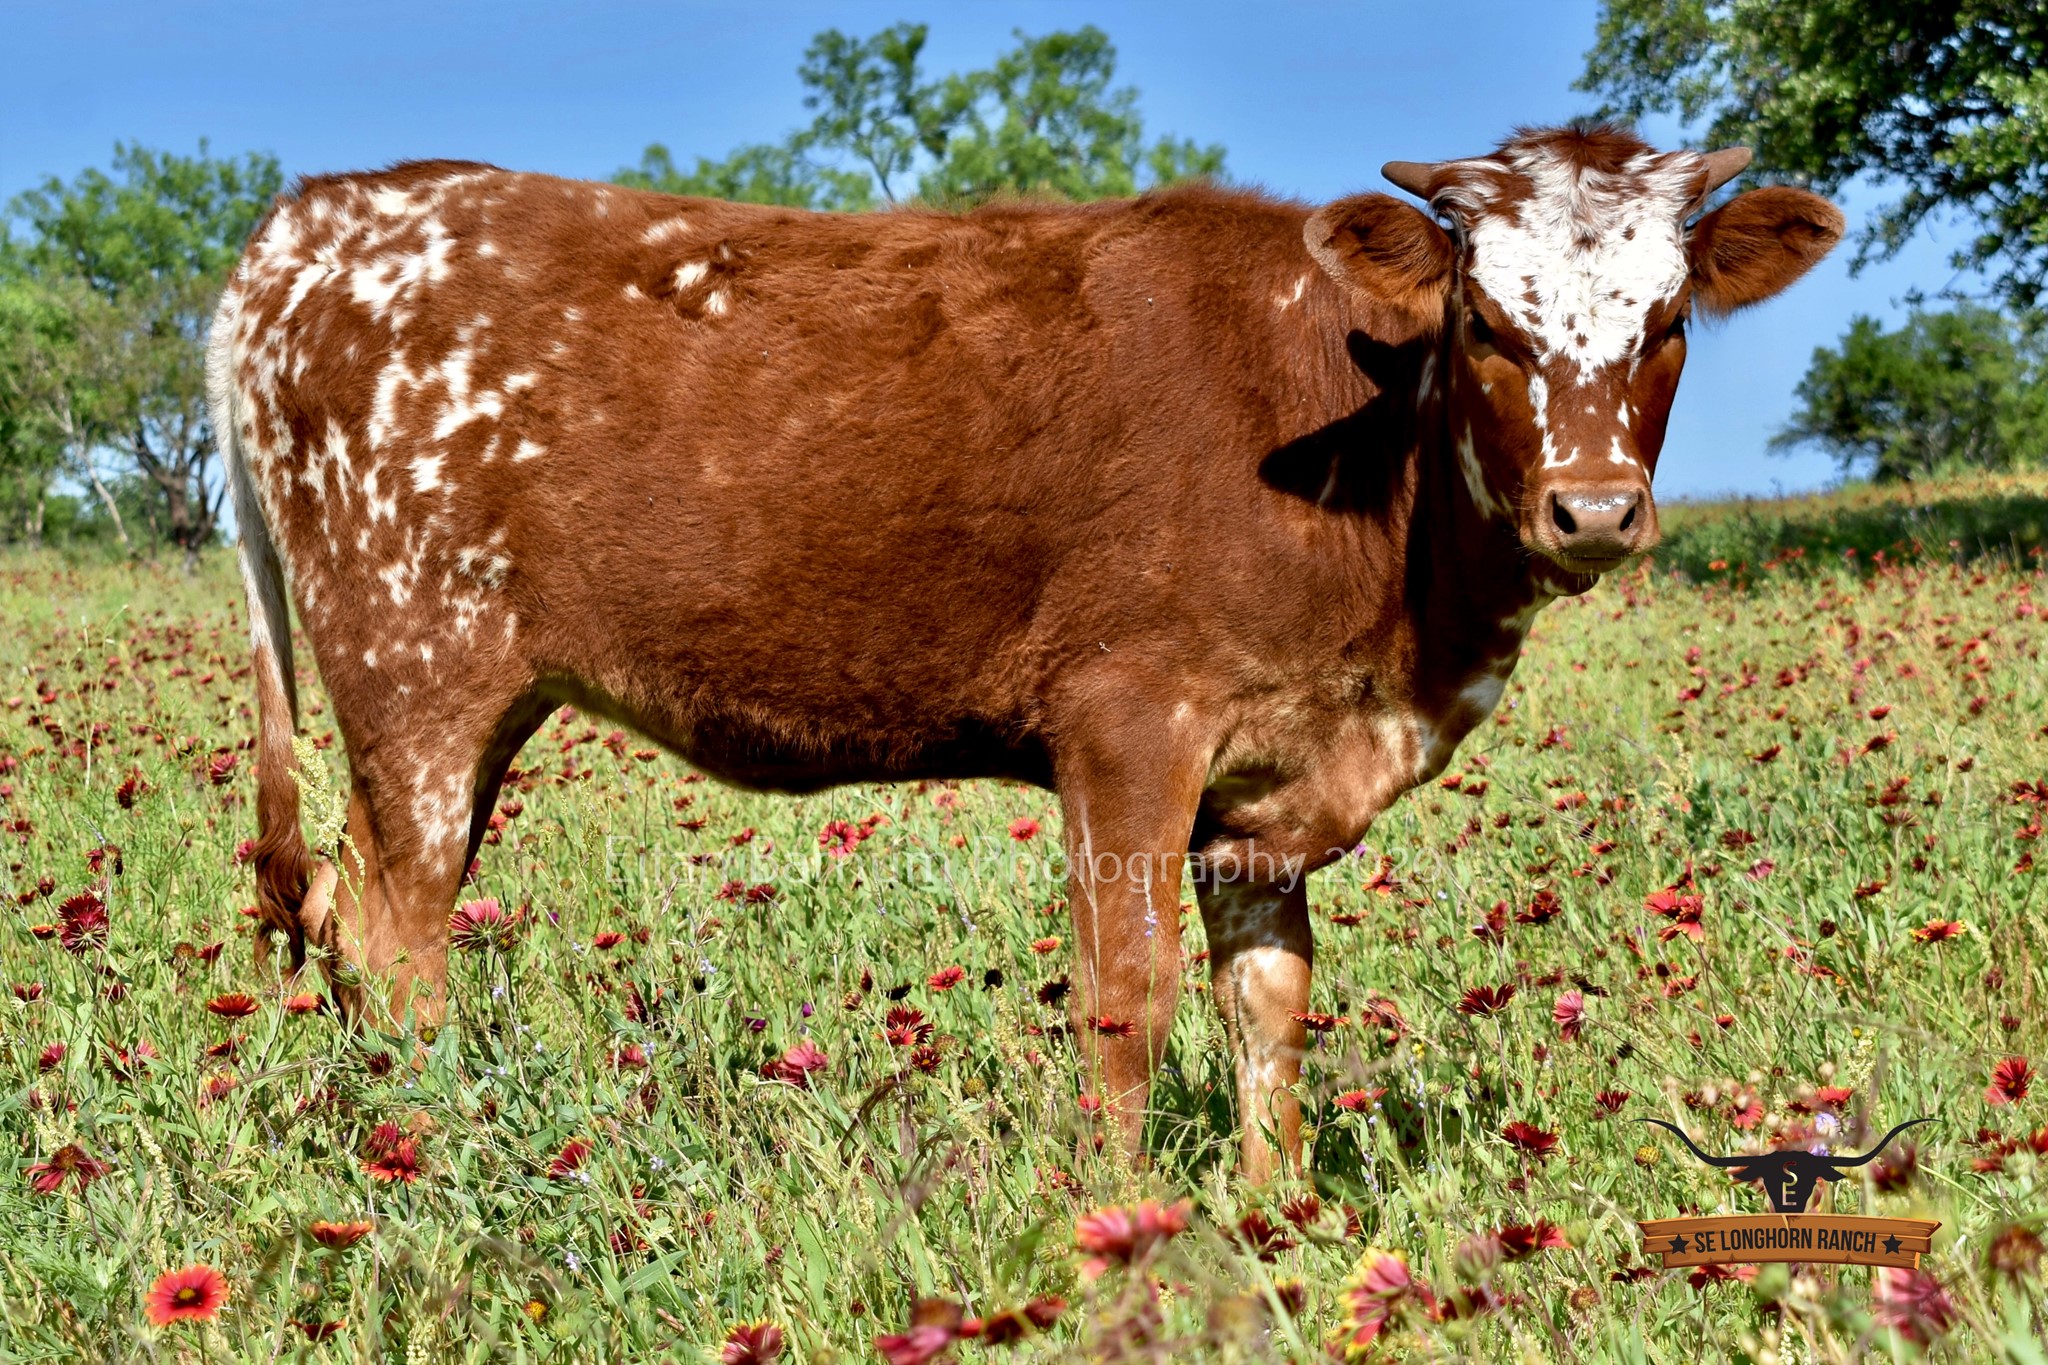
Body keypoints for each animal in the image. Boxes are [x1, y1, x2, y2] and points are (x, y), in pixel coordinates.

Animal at [212, 123, 1842, 1180]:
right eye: (1489, 322)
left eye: (1667, 321)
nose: (1595, 507)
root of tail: (320, 215)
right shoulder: (1127, 718)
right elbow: (1129, 1001)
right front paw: (1124, 1227)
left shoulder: (1264, 785)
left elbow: (1271, 1004)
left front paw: (1277, 1216)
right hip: (420, 676)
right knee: (396, 945)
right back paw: (434, 1158)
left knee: (354, 924)